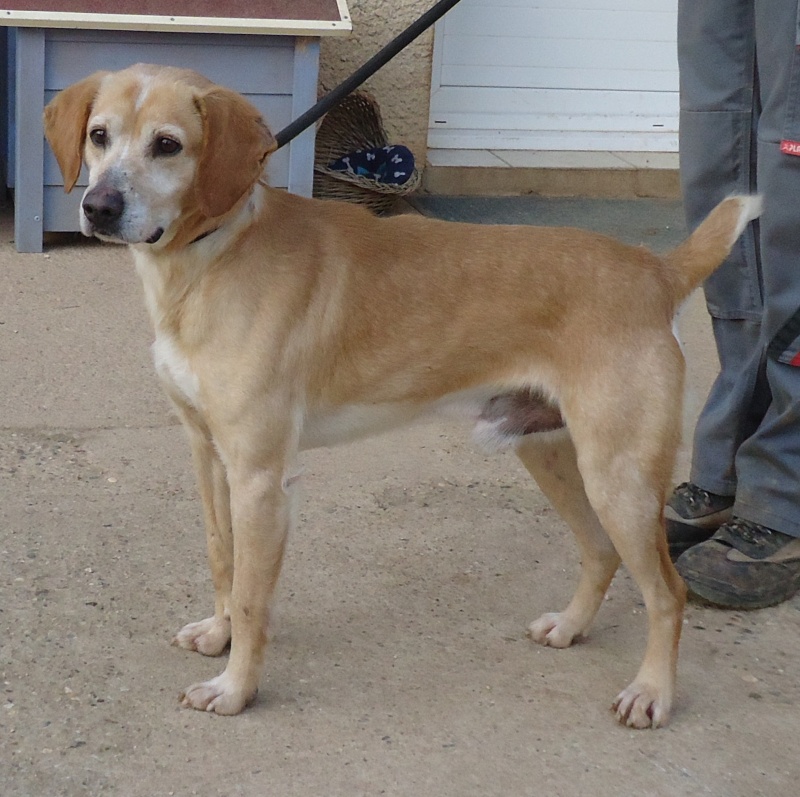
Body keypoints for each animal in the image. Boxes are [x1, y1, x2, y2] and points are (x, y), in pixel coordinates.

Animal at [43, 65, 764, 728]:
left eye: (168, 144)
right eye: (100, 135)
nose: (98, 207)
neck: (212, 255)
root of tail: (656, 270)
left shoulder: (259, 477)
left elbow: (251, 597)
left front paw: (236, 687)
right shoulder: (207, 453)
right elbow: (224, 559)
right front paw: (218, 636)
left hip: (620, 477)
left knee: (668, 593)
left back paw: (652, 691)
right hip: (554, 456)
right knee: (600, 549)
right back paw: (570, 625)